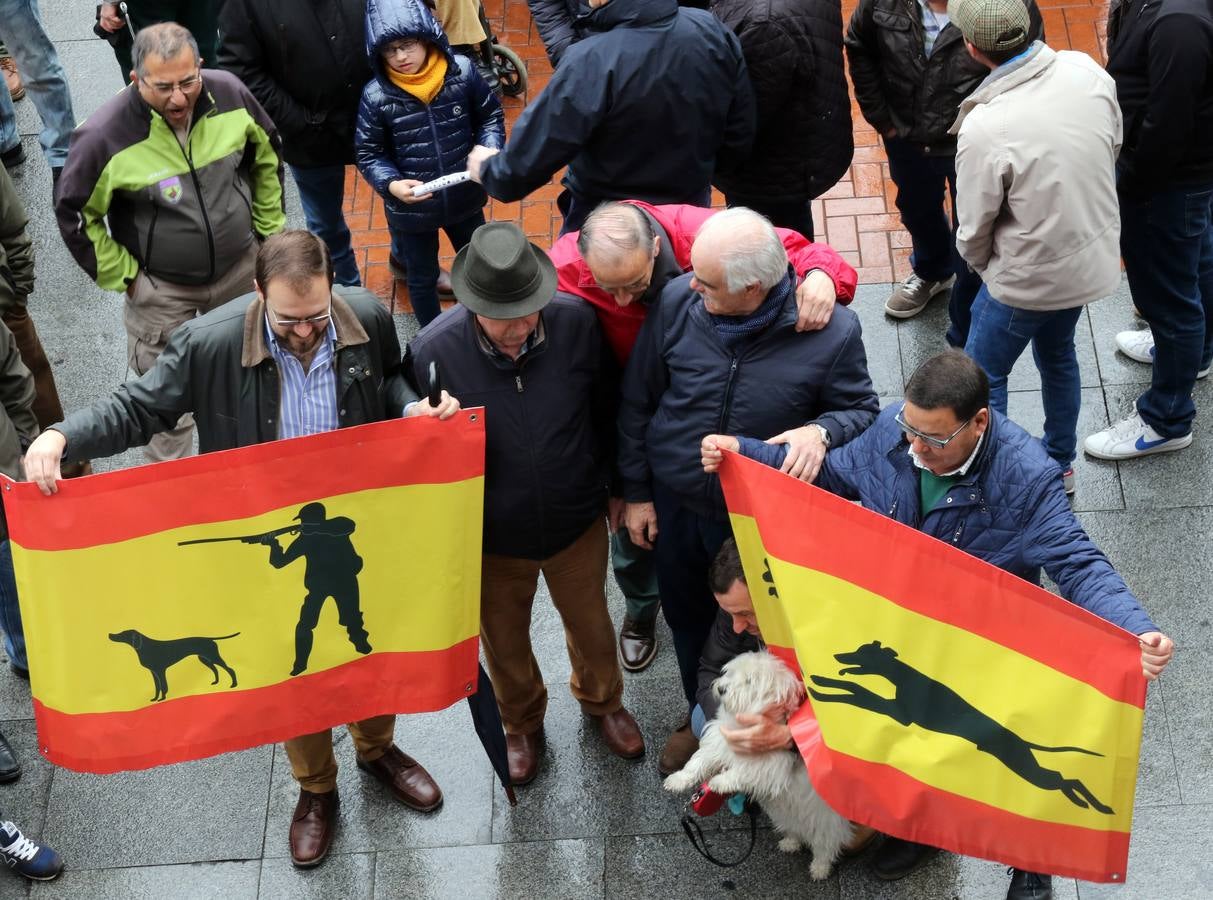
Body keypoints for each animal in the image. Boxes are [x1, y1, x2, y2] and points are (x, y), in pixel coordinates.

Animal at [664, 650, 853, 878]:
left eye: (750, 681)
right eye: (730, 672)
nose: (721, 689)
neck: (742, 724)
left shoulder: (772, 765)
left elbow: (744, 771)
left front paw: (719, 782)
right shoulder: (718, 744)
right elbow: (697, 763)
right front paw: (677, 780)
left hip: (824, 821)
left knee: (825, 845)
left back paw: (819, 868)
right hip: (785, 817)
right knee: (795, 831)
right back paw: (790, 843)